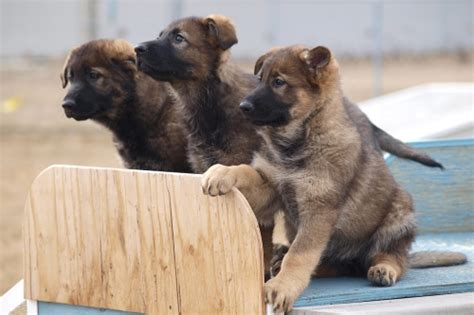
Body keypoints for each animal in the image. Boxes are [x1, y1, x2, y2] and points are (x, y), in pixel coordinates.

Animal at [202, 45, 464, 314]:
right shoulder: (272, 188)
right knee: (329, 263)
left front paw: (282, 287)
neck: (297, 143)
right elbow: (245, 170)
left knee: (395, 256)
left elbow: (300, 254)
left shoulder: (319, 210)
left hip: (399, 212)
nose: (242, 106)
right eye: (259, 79)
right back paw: (281, 260)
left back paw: (384, 268)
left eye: (279, 82)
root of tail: (356, 261)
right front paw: (221, 173)